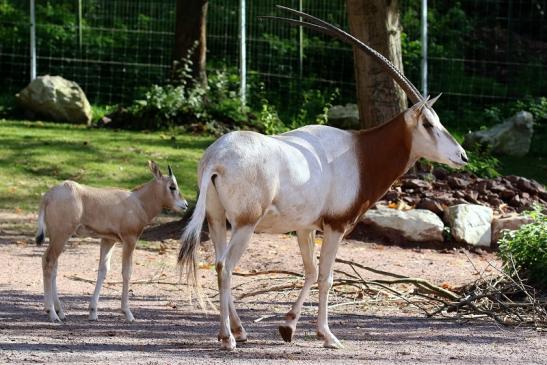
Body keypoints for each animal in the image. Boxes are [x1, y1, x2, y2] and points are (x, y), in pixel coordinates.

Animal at [35, 161, 188, 320]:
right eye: (172, 186)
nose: (185, 205)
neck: (138, 201)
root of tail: (48, 195)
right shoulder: (129, 239)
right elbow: (127, 271)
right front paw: (127, 312)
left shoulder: (108, 240)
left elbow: (103, 270)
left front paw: (93, 312)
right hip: (62, 235)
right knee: (48, 261)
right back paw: (52, 313)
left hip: (57, 236)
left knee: (53, 265)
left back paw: (60, 311)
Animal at [179, 7, 466, 350]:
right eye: (428, 124)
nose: (462, 156)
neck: (360, 153)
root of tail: (216, 158)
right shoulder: (335, 226)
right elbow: (327, 277)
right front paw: (327, 335)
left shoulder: (305, 227)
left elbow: (310, 271)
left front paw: (288, 327)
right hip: (245, 223)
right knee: (226, 266)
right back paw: (228, 337)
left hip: (216, 219)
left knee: (220, 261)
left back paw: (240, 330)